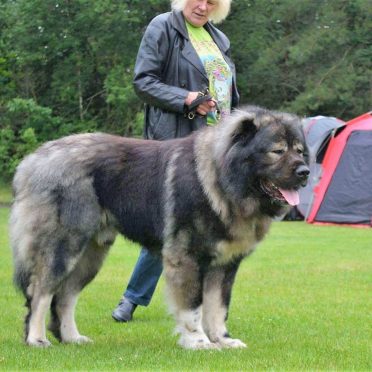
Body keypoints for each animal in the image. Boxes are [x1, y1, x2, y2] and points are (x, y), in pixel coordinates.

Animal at [10, 105, 310, 348]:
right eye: (277, 151)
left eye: (299, 151)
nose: (305, 171)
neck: (223, 180)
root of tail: (33, 160)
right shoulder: (187, 257)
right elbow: (193, 307)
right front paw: (199, 342)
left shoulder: (224, 264)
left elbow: (218, 307)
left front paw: (222, 340)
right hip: (64, 247)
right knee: (40, 292)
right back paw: (36, 339)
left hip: (90, 255)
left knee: (65, 297)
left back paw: (72, 337)